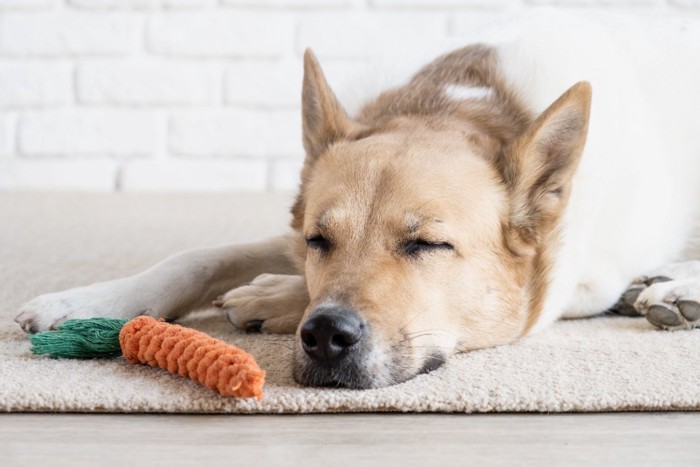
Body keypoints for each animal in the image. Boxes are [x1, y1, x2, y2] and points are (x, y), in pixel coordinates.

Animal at [15, 14, 700, 390]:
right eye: (321, 240)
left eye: (428, 243)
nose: (323, 336)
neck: (458, 104)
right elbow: (200, 257)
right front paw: (88, 302)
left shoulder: (581, 284)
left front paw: (272, 296)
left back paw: (672, 290)